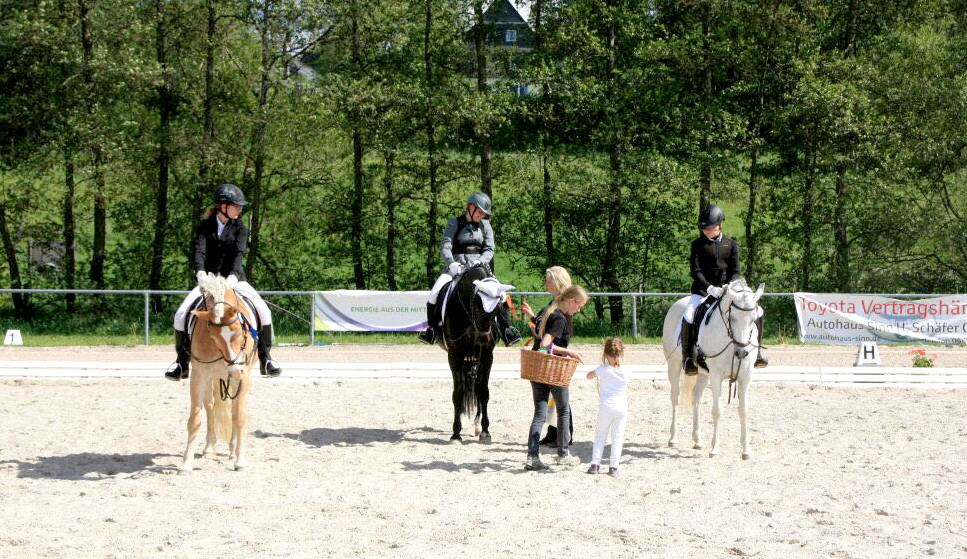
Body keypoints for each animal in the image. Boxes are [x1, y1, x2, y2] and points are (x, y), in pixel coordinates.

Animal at [179, 274, 258, 474]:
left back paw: (232, 449)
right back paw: (209, 449)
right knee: (210, 406)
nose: (235, 371)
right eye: (214, 336)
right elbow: (195, 419)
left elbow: (239, 416)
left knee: (233, 409)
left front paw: (240, 461)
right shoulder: (199, 375)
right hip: (213, 377)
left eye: (239, 332)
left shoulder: (244, 376)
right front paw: (186, 463)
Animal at [442, 264, 506, 444]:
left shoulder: (486, 356)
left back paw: (477, 425)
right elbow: (458, 392)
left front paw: (485, 431)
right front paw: (456, 433)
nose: (484, 334)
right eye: (477, 302)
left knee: (476, 386)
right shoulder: (454, 355)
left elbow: (483, 391)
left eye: (499, 306)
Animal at [664, 280, 764, 460]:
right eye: (732, 317)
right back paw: (673, 438)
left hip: (704, 374)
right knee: (675, 397)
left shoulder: (746, 376)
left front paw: (746, 450)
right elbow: (717, 410)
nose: (742, 353)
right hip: (674, 365)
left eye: (754, 319)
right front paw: (715, 449)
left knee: (696, 398)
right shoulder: (716, 376)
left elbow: (743, 410)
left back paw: (698, 440)